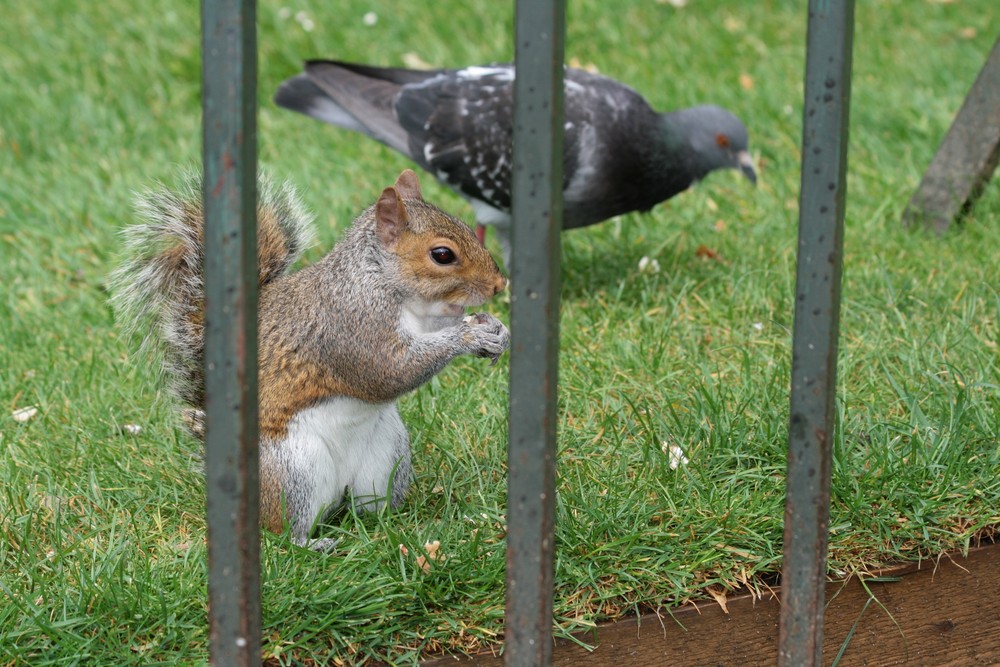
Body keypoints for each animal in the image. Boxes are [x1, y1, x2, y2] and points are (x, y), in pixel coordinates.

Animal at [111, 170, 508, 552]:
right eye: (442, 255)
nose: (499, 285)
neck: (387, 286)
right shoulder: (350, 327)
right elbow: (388, 373)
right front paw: (468, 337)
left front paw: (494, 328)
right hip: (294, 471)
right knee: (285, 528)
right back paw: (313, 542)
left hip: (387, 458)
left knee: (369, 507)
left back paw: (398, 526)